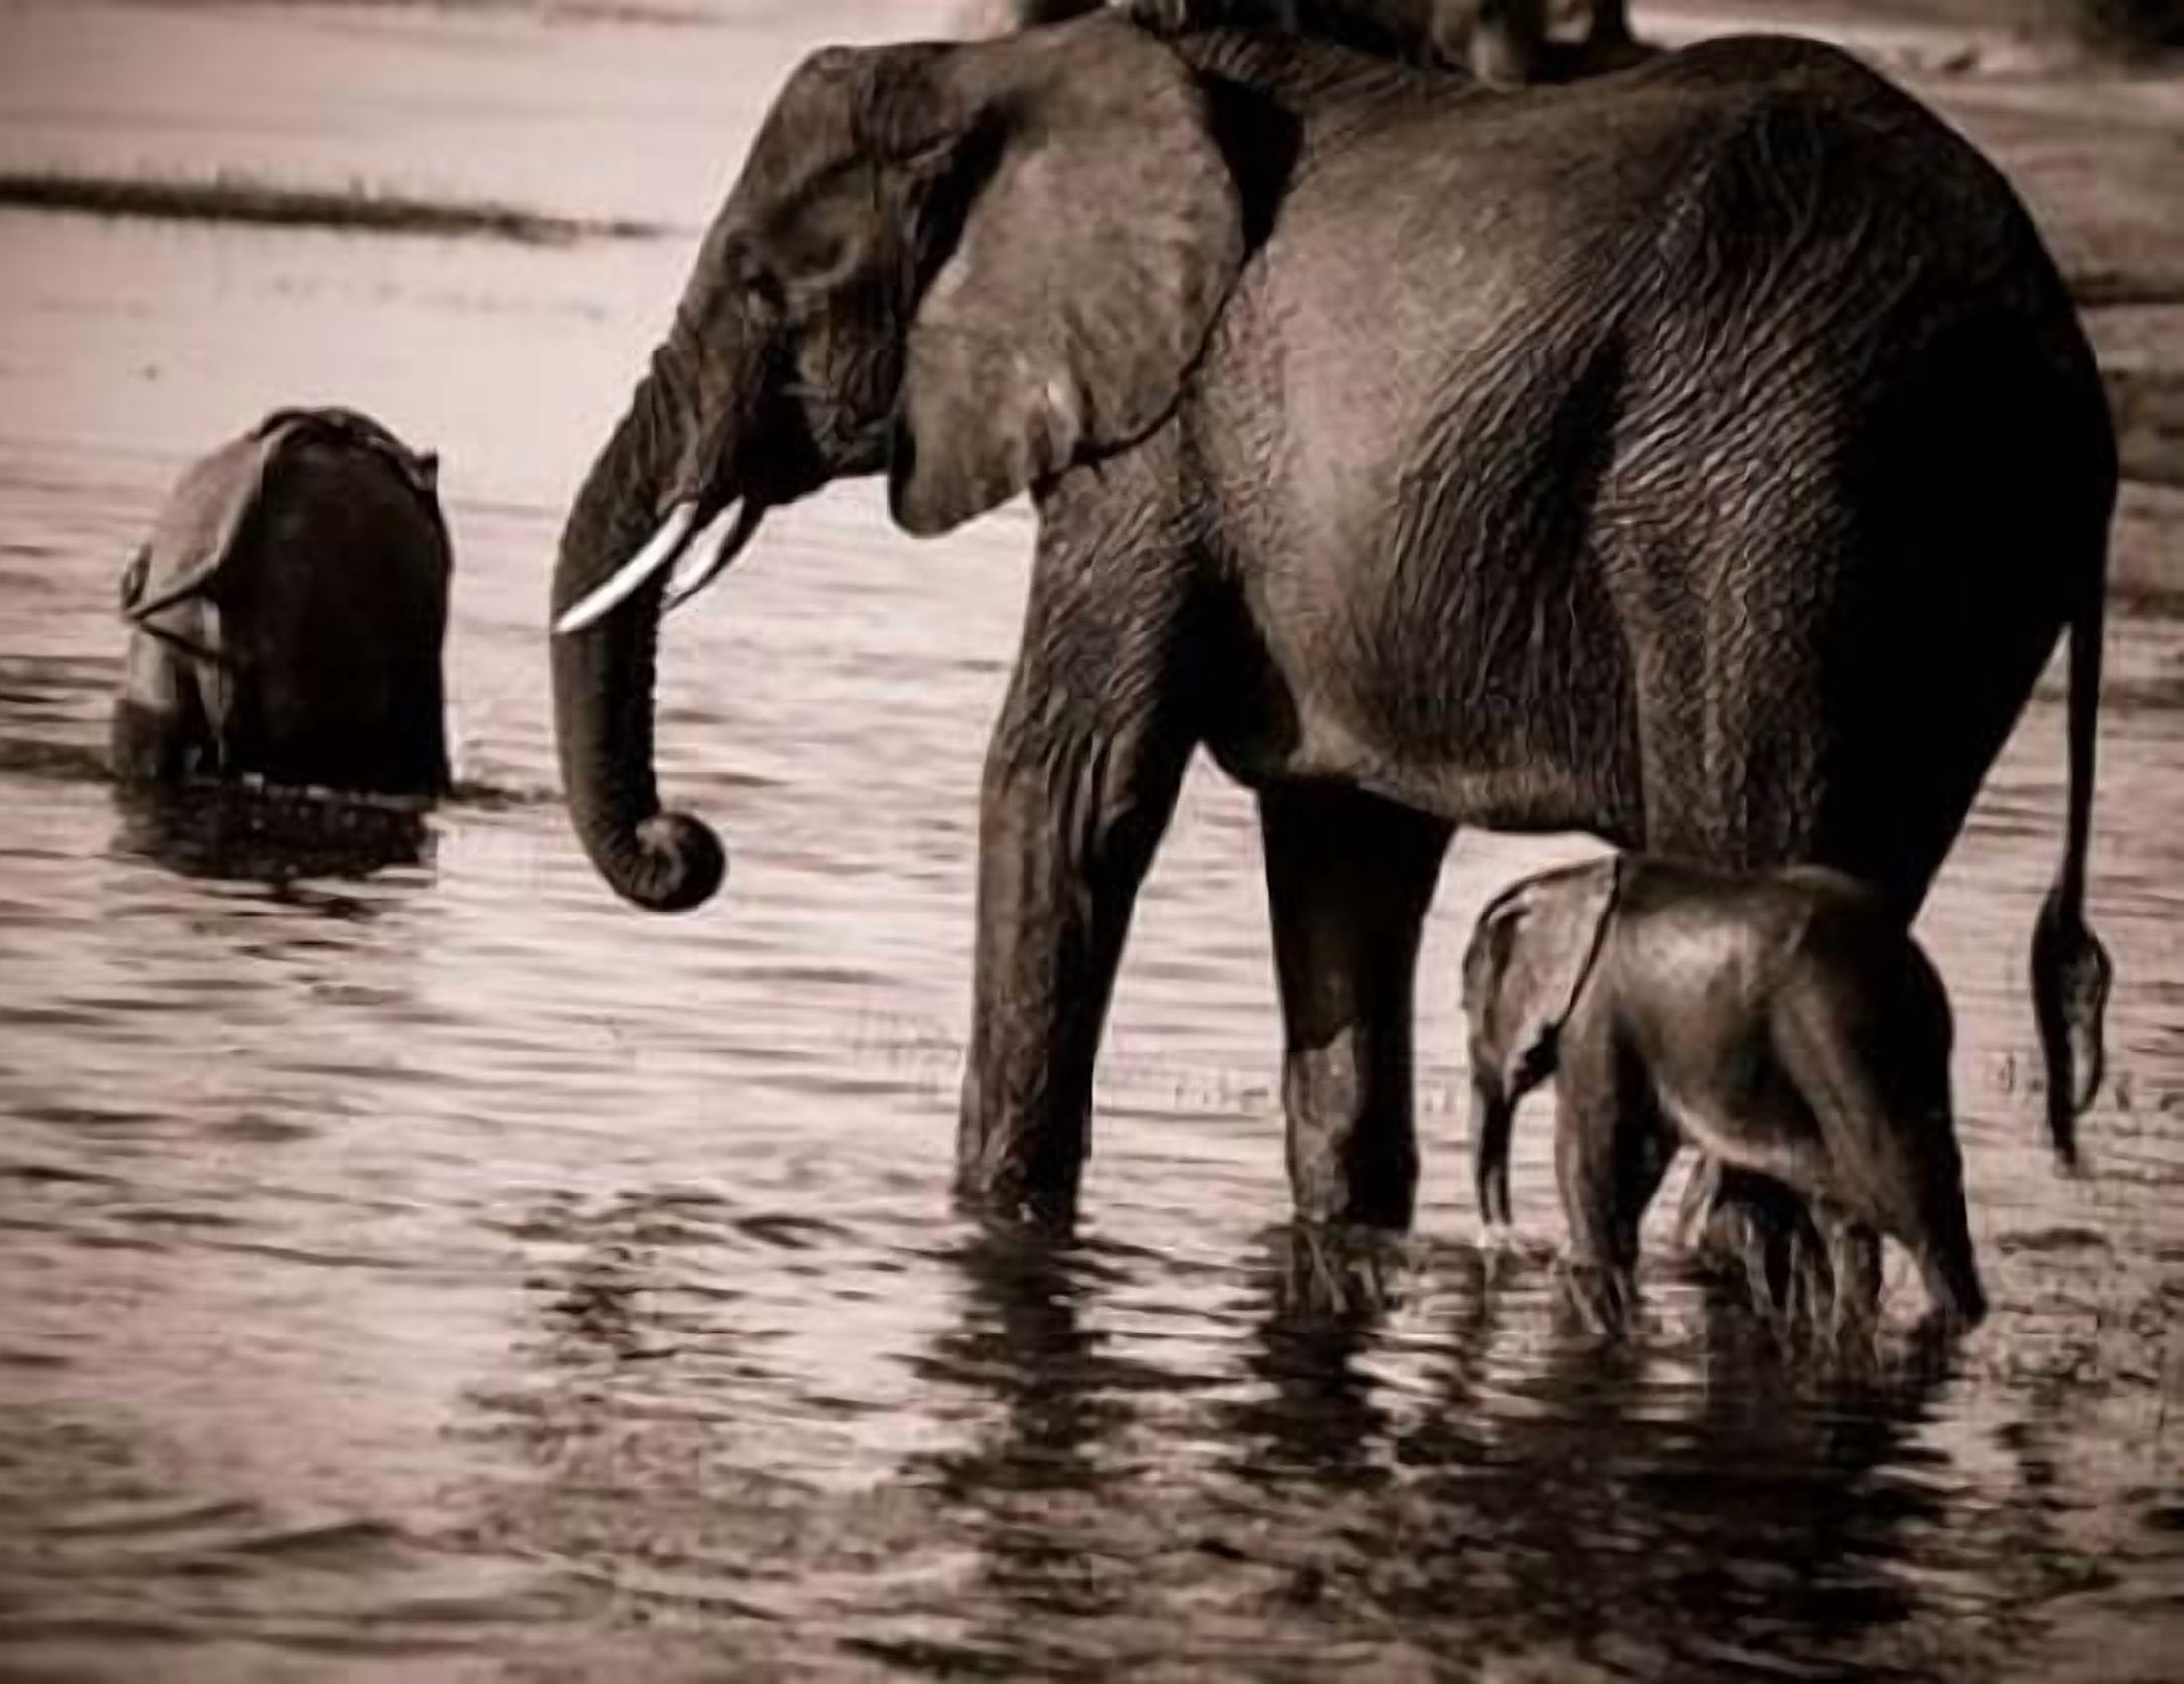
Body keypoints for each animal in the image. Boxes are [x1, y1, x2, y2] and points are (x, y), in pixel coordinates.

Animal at [546, 14, 2114, 1234]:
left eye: (764, 285)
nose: (690, 845)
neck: (1003, 65)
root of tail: (2055, 354)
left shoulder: (1154, 446)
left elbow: (1070, 790)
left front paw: (993, 1225)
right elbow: (1348, 853)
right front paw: (1344, 1241)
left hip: (1770, 501)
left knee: (1746, 885)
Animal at [1460, 855, 1988, 1335]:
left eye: (1466, 1007)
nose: (1507, 1241)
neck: (1566, 881)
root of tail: (1912, 966)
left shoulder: (1595, 1019)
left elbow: (1592, 1151)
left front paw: (1584, 1272)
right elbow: (1640, 1156)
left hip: (1843, 1042)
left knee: (1905, 1200)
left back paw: (1951, 1316)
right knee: (1847, 1213)